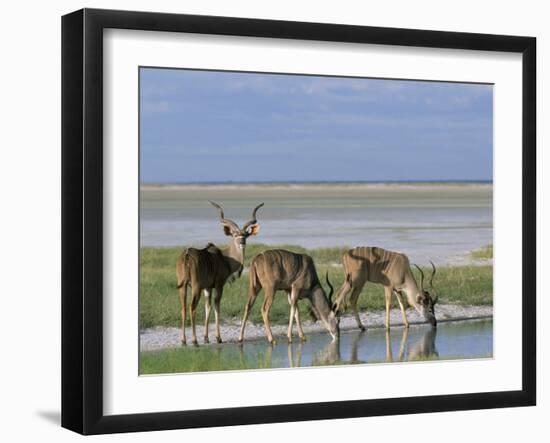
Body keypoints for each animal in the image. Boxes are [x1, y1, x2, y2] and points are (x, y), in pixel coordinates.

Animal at [176, 201, 264, 346]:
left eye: (246, 235)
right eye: (234, 234)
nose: (242, 241)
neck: (225, 257)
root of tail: (187, 255)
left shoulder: (207, 288)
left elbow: (208, 308)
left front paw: (206, 338)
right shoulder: (219, 285)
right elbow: (217, 307)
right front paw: (218, 338)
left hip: (183, 287)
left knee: (183, 307)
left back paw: (183, 340)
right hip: (195, 287)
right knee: (191, 307)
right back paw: (194, 340)